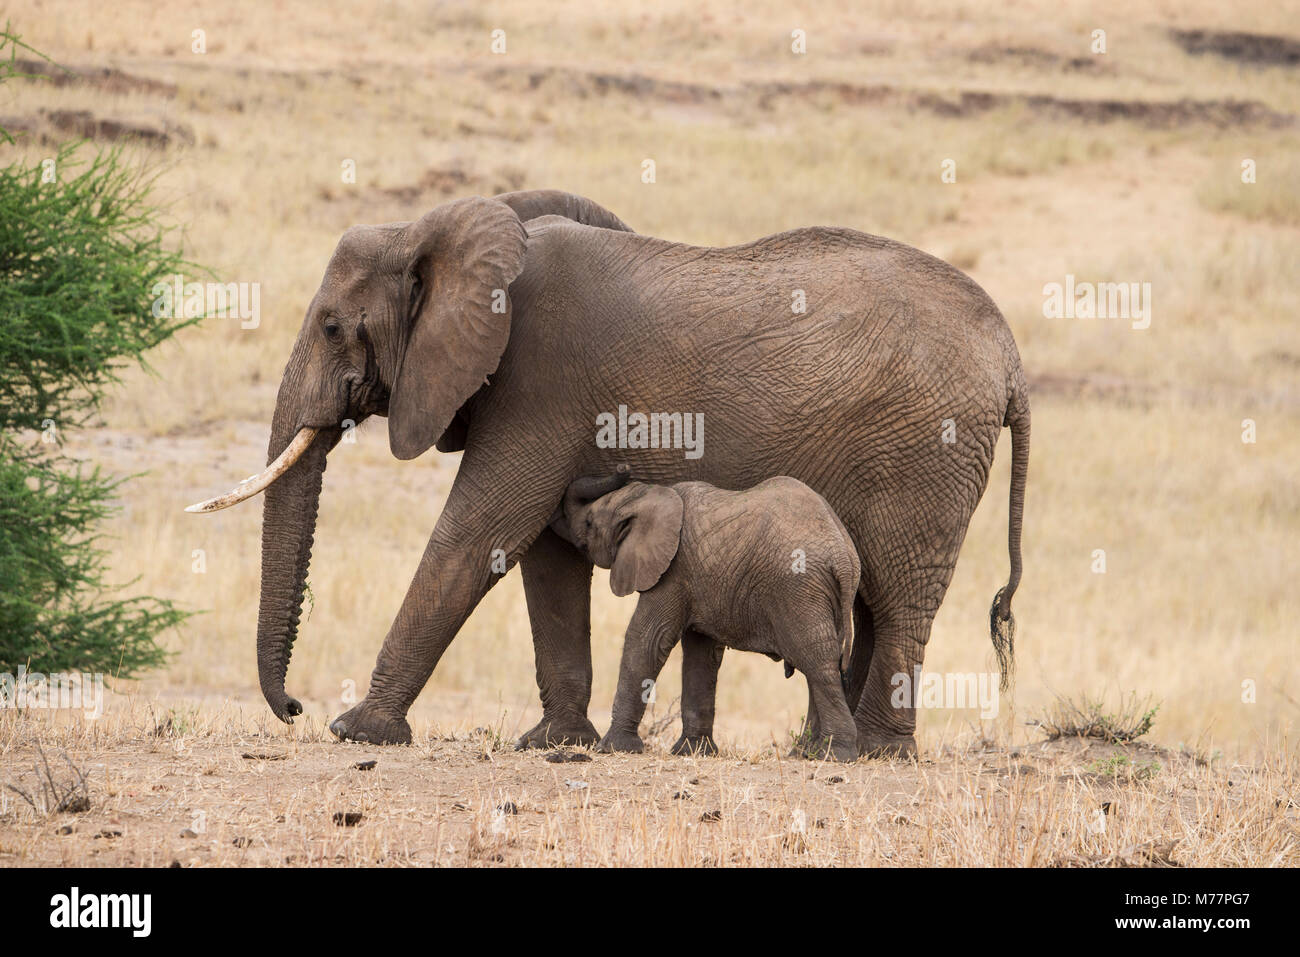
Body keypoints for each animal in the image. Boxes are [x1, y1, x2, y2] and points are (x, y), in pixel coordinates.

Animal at [553, 468, 857, 759]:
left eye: (589, 523)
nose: (623, 467)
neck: (649, 497)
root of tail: (843, 558)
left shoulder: (673, 570)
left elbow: (648, 639)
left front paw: (611, 748)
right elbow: (701, 654)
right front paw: (693, 751)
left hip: (798, 589)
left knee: (817, 661)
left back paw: (835, 754)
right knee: (819, 662)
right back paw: (810, 752)